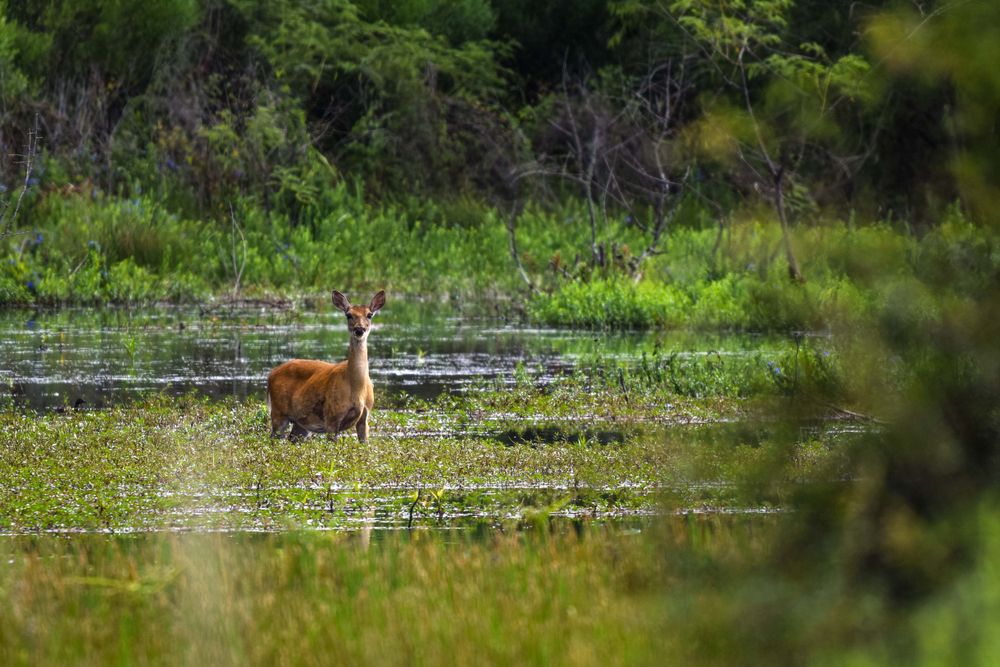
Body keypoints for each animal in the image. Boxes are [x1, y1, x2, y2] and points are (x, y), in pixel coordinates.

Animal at [266, 290, 385, 443]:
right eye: (349, 315)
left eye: (369, 314)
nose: (359, 329)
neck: (357, 388)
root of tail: (271, 374)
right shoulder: (331, 417)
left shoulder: (365, 417)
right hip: (278, 412)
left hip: (301, 424)